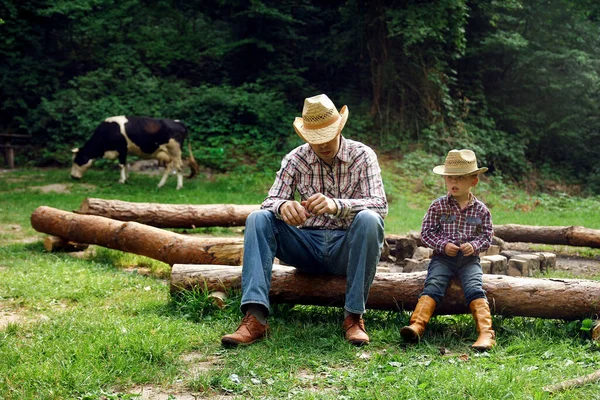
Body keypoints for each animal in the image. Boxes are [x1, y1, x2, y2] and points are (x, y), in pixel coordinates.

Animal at [69, 115, 198, 191]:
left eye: (77, 160)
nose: (72, 176)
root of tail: (178, 122)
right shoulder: (125, 151)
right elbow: (126, 165)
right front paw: (126, 178)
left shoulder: (121, 149)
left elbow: (121, 165)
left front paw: (121, 181)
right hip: (166, 153)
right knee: (169, 168)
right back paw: (160, 185)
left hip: (175, 151)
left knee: (179, 167)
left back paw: (178, 186)